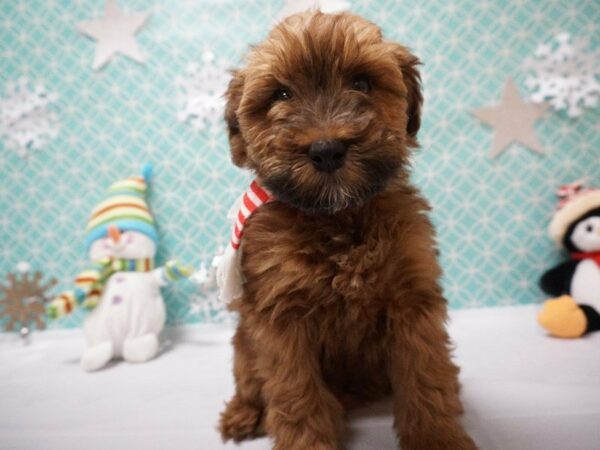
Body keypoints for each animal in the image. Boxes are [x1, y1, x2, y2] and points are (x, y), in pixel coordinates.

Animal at [218, 9, 476, 450]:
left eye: (362, 83)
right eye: (281, 95)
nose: (327, 150)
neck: (337, 218)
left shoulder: (413, 301)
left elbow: (427, 378)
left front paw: (438, 437)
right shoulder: (280, 318)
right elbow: (297, 396)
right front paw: (307, 442)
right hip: (243, 348)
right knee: (248, 382)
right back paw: (242, 413)